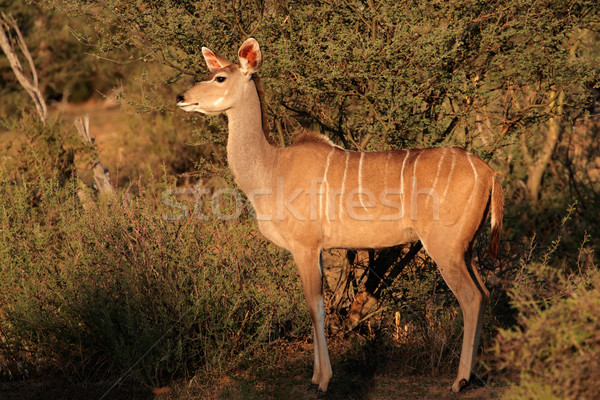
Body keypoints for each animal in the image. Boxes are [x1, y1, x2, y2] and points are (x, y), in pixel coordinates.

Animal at [177, 39, 502, 396]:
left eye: (220, 77)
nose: (181, 97)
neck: (272, 168)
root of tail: (490, 173)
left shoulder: (305, 246)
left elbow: (314, 305)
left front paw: (322, 381)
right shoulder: (317, 249)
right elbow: (316, 305)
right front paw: (316, 376)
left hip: (445, 247)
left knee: (471, 298)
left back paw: (459, 381)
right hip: (465, 248)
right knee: (484, 294)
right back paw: (472, 375)